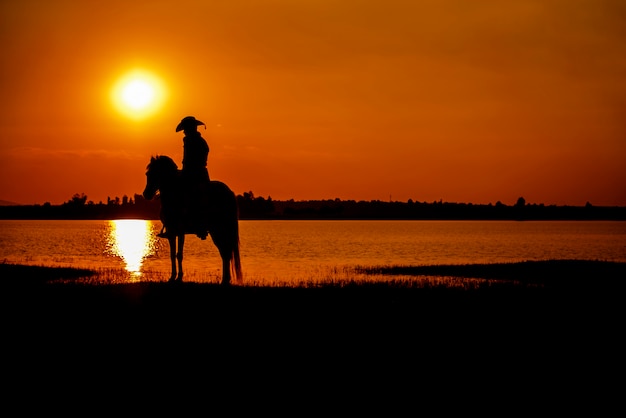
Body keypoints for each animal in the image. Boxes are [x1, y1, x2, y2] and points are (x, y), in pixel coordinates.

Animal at [142, 155, 241, 286]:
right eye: (148, 174)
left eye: (157, 173)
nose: (146, 194)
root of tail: (229, 192)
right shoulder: (172, 233)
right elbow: (172, 255)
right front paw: (173, 277)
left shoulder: (179, 231)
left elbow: (179, 255)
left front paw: (178, 277)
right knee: (225, 253)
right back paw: (225, 280)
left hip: (219, 229)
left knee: (226, 252)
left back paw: (225, 280)